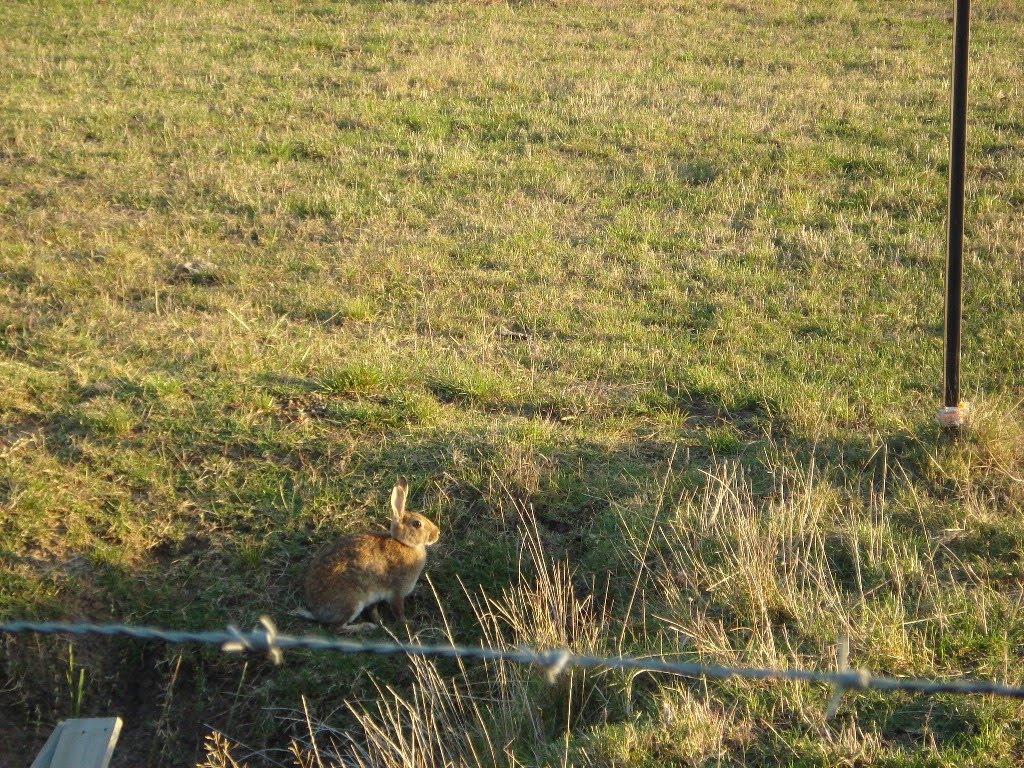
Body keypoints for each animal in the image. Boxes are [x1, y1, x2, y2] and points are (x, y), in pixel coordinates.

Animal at [296, 479, 440, 634]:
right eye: (417, 524)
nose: (437, 533)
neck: (403, 544)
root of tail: (316, 611)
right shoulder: (397, 591)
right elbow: (398, 611)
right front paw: (407, 623)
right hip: (352, 602)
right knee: (336, 628)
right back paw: (366, 626)